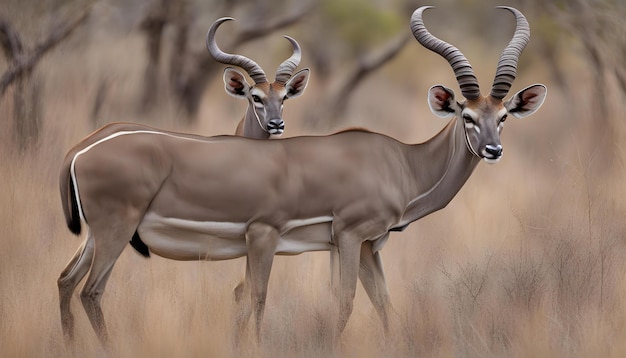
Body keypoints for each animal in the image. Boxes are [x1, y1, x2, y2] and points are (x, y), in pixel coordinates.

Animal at [58, 4, 544, 346]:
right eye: (466, 115)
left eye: (503, 116)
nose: (493, 150)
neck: (400, 162)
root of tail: (81, 150)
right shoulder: (339, 236)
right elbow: (336, 302)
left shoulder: (368, 246)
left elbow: (384, 304)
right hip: (118, 234)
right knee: (91, 292)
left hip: (97, 237)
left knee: (66, 281)